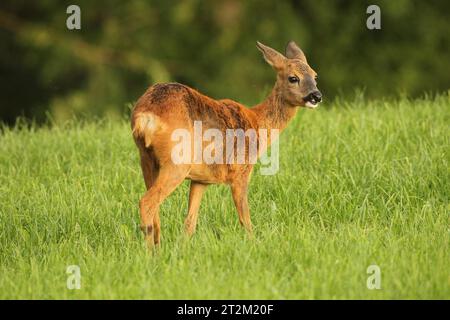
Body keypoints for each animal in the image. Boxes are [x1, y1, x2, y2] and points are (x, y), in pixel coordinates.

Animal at [132, 41, 322, 248]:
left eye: (315, 76)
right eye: (293, 78)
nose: (316, 96)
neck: (257, 123)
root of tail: (145, 117)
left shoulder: (201, 180)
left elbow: (190, 223)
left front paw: (183, 249)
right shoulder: (241, 172)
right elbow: (245, 220)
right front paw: (254, 245)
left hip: (146, 159)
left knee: (155, 208)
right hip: (177, 162)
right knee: (147, 202)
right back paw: (150, 252)